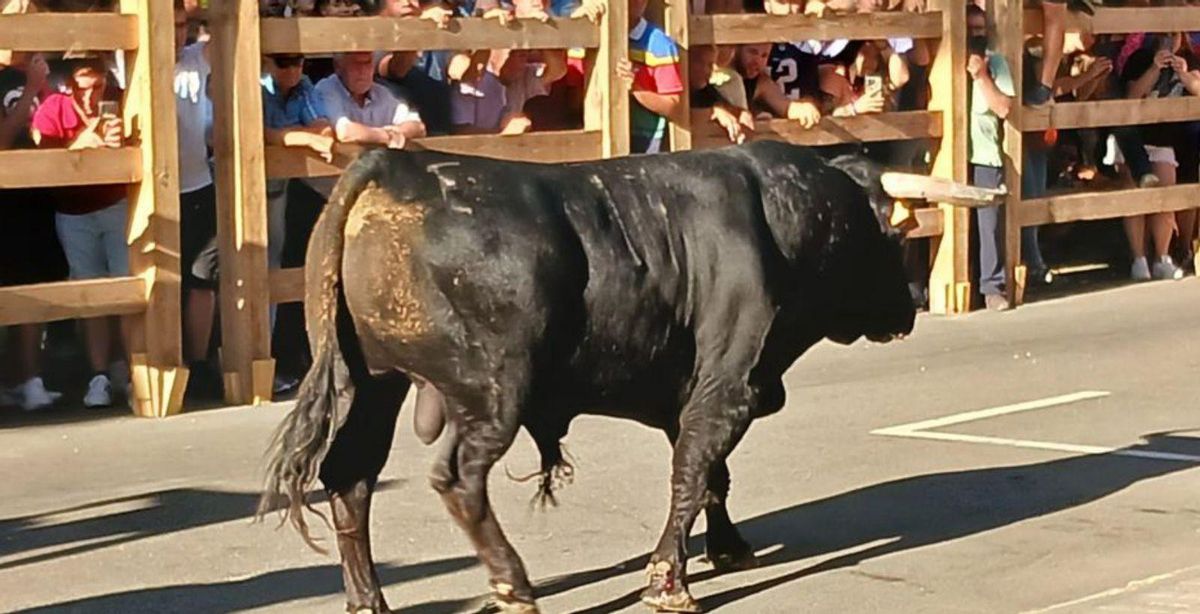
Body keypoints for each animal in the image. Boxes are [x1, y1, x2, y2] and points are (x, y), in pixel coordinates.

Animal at [262, 141, 912, 611]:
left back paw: (369, 601)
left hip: (371, 382)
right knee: (457, 478)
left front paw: (728, 549)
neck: (783, 219)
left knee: (352, 477)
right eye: (891, 234)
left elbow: (712, 477)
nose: (908, 308)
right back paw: (513, 586)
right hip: (494, 393)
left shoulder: (693, 391)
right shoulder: (730, 385)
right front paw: (669, 583)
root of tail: (394, 163)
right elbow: (693, 472)